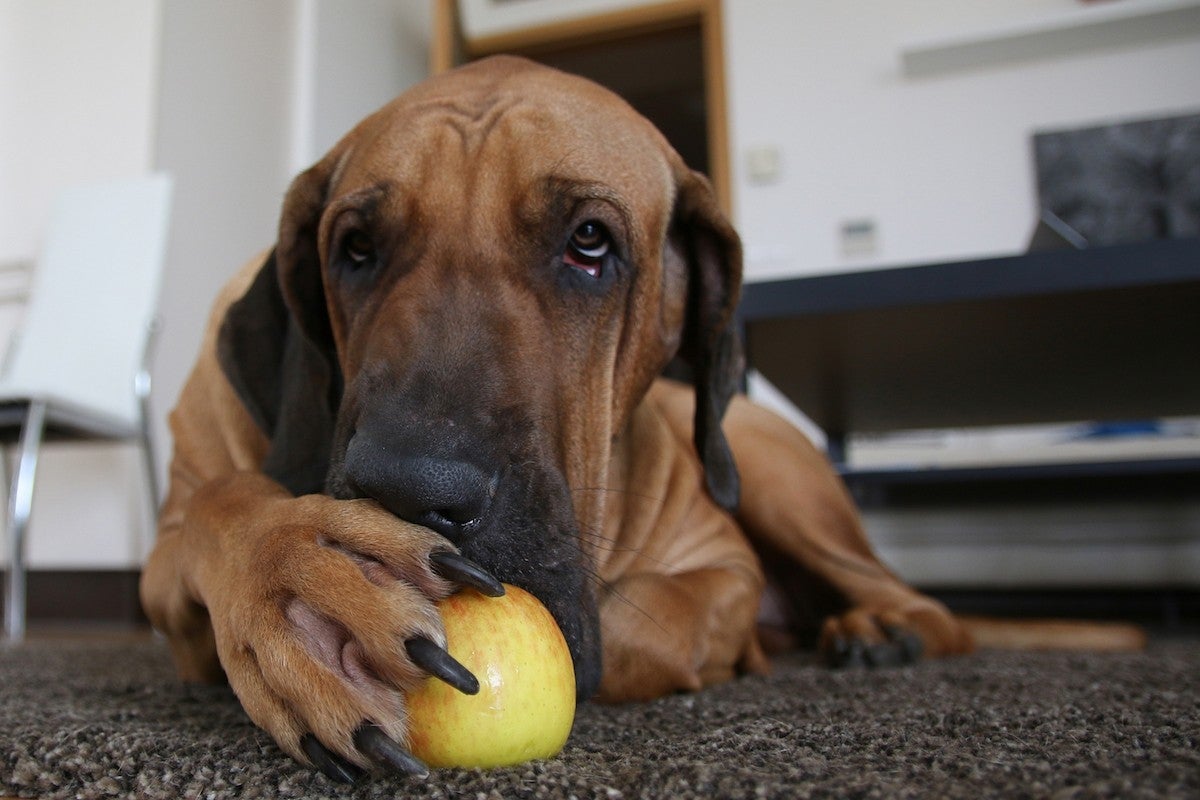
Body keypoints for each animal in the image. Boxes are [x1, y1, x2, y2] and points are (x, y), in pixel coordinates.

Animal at [138, 56, 1132, 782]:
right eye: (355, 249)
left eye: (589, 243)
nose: (409, 492)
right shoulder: (169, 571)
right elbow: (217, 511)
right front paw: (299, 586)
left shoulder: (720, 565)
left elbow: (641, 621)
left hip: (773, 473)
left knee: (927, 605)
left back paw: (878, 632)